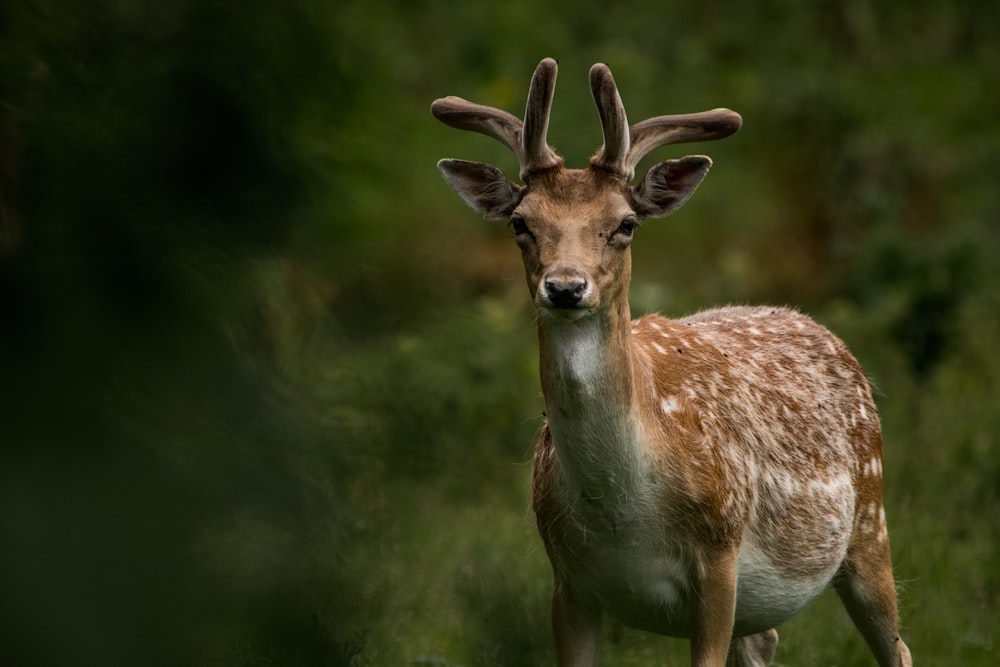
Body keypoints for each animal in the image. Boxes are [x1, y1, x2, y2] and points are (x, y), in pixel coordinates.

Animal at [432, 58, 916, 667]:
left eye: (625, 223)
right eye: (520, 221)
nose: (565, 287)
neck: (622, 515)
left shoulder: (719, 557)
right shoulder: (566, 581)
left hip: (871, 523)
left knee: (898, 646)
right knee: (766, 641)